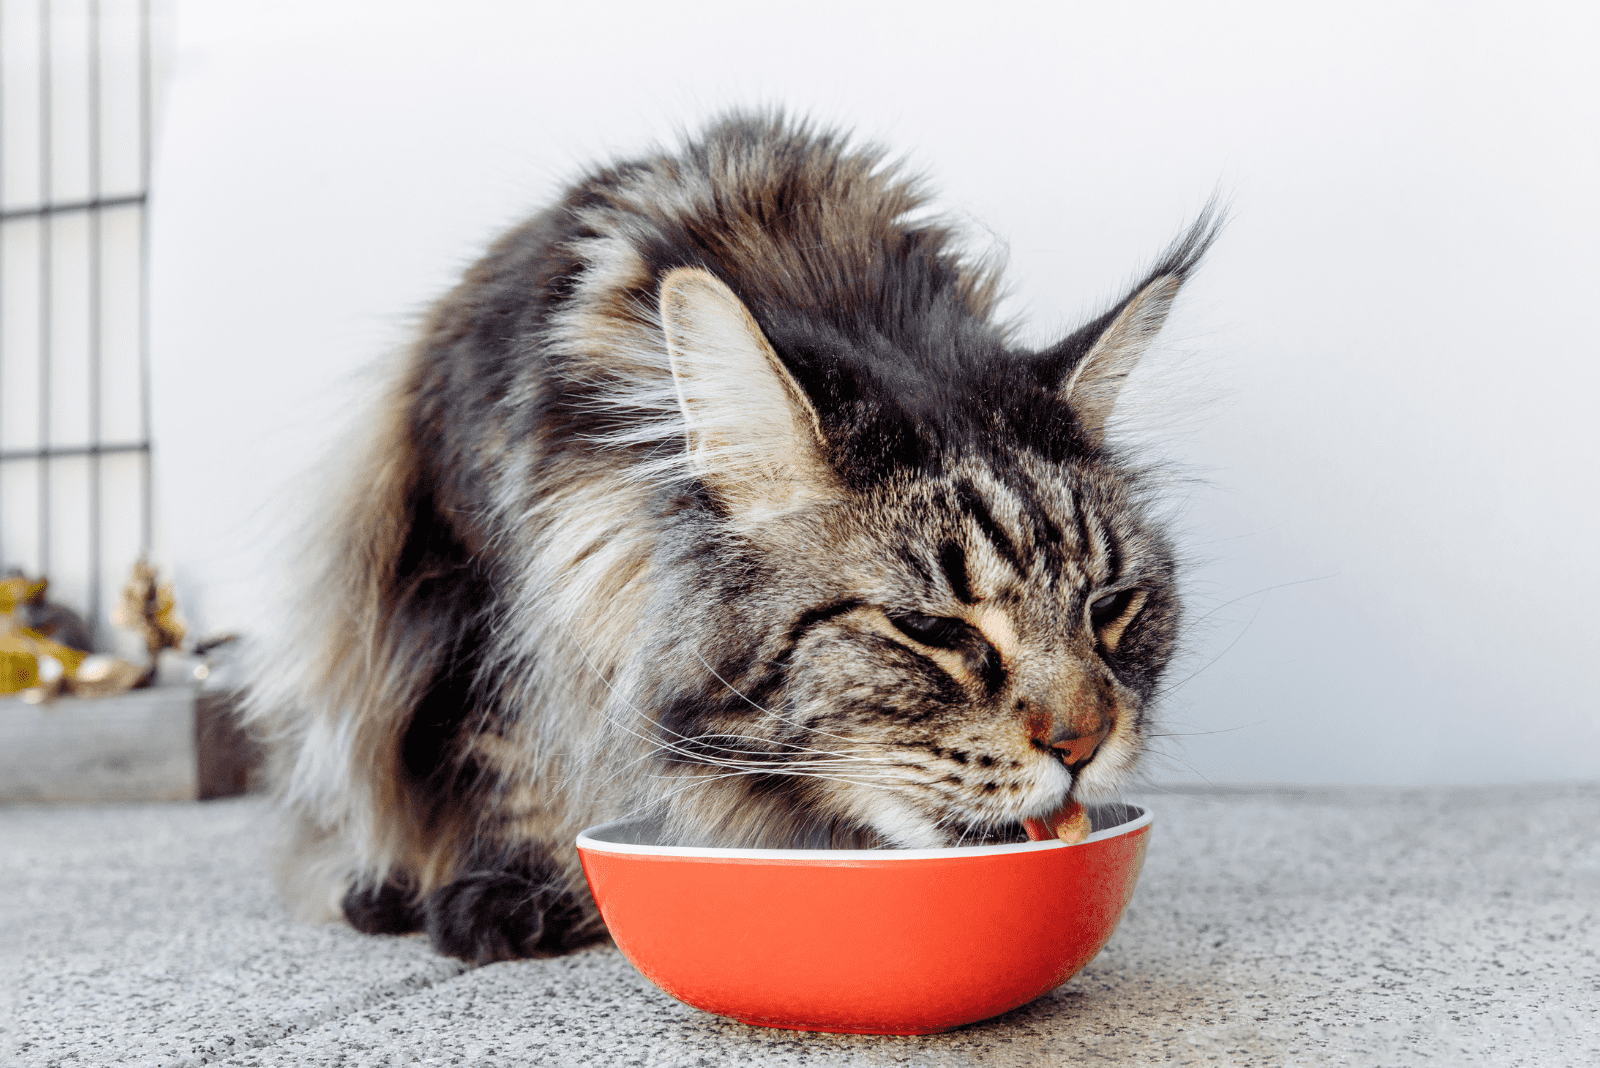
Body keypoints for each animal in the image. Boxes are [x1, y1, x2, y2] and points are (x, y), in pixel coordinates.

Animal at [243, 112, 1216, 965]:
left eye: (1112, 608)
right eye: (930, 630)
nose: (1083, 745)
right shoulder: (485, 569)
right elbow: (519, 742)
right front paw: (519, 885)